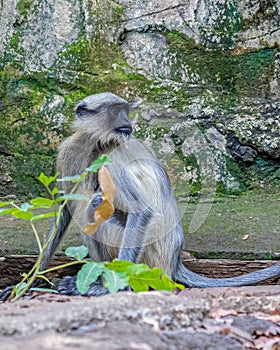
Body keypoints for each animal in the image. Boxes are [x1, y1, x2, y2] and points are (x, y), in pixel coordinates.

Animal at [0, 92, 280, 298]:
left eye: (125, 110)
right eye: (116, 111)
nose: (127, 121)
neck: (96, 143)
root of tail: (173, 262)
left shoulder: (111, 158)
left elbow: (141, 211)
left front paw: (111, 288)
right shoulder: (69, 151)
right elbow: (64, 211)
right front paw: (27, 284)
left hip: (147, 260)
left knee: (94, 206)